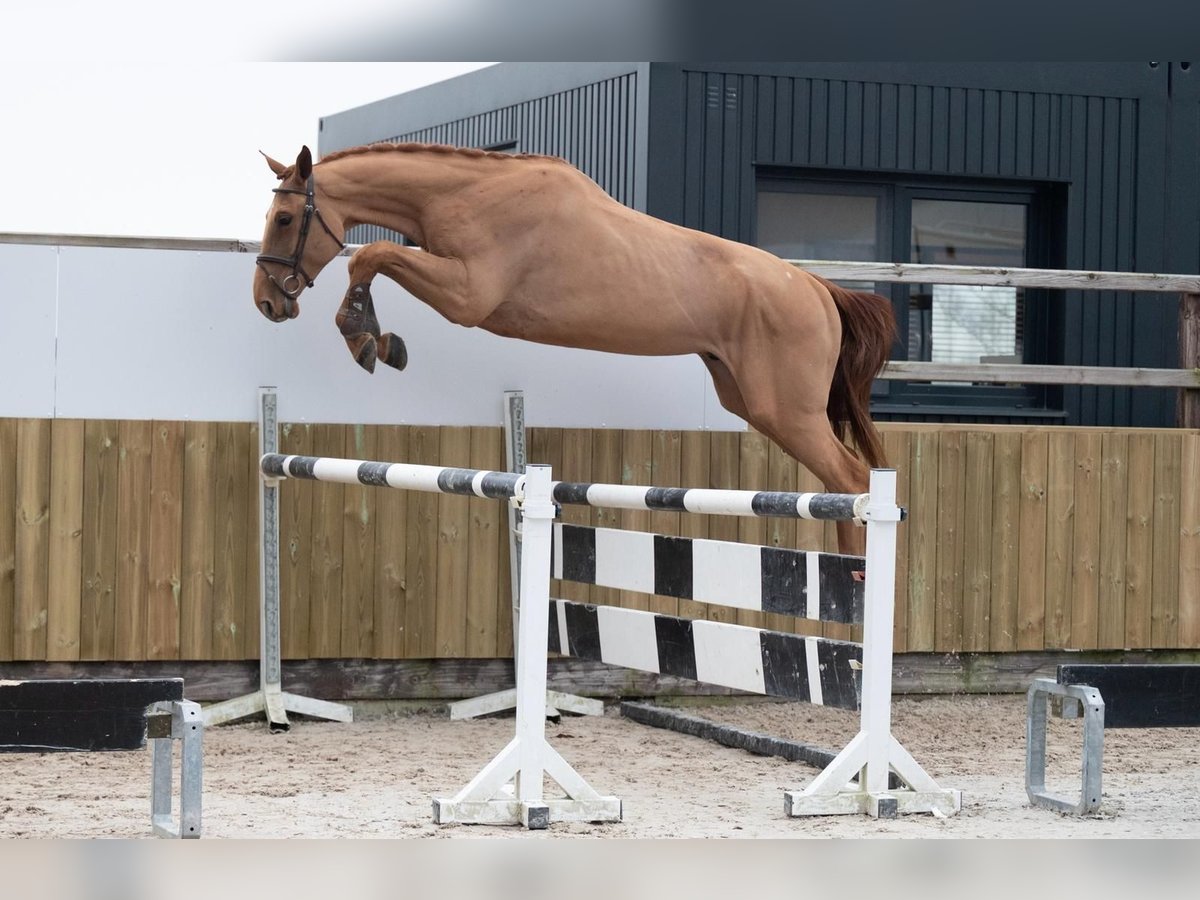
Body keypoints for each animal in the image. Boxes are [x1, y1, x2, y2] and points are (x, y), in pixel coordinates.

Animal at [250, 144, 892, 554]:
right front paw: (376, 338)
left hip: (784, 409)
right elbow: (373, 257)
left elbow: (370, 255)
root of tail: (816, 287)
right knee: (840, 483)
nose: (267, 302)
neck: (470, 194)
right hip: (748, 399)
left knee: (853, 477)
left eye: (283, 218)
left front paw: (367, 336)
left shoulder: (468, 296)